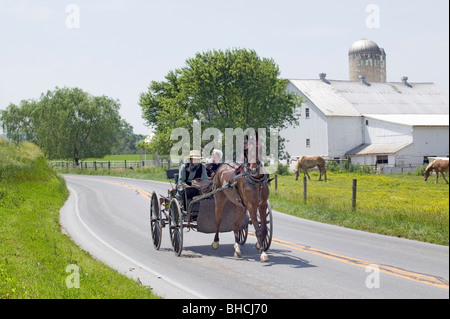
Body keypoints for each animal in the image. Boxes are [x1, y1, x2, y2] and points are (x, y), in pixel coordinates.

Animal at [212, 134, 270, 262]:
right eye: (246, 149)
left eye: (260, 147)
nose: (254, 168)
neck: (255, 180)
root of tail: (222, 166)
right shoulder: (251, 206)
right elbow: (258, 230)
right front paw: (263, 253)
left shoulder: (262, 205)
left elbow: (263, 229)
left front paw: (260, 245)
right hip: (219, 199)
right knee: (218, 220)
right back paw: (216, 242)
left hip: (240, 206)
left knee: (236, 225)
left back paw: (237, 248)